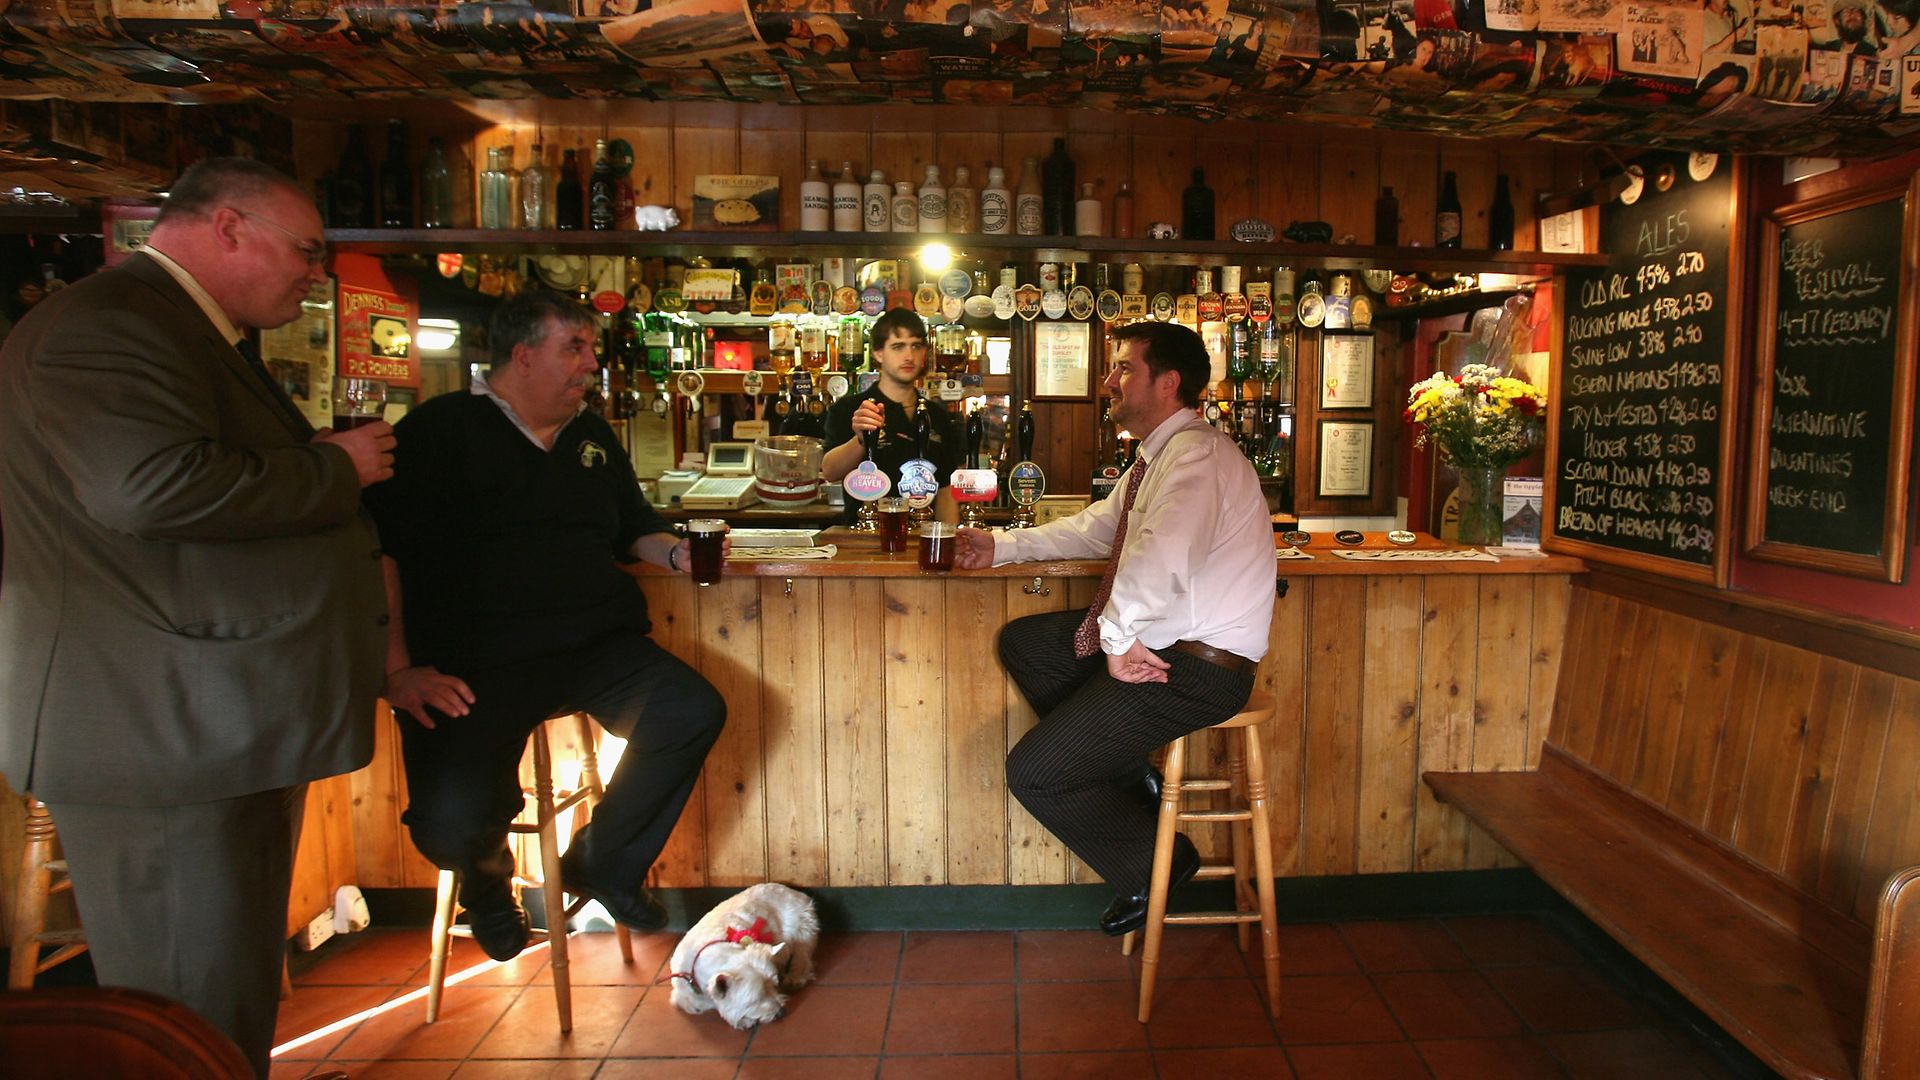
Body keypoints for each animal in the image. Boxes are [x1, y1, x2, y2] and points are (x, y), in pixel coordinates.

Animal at [668, 880, 817, 1022]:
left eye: (774, 984)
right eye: (755, 1000)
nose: (782, 1013)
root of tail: (791, 890)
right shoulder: (686, 995)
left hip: (802, 924)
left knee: (802, 952)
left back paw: (795, 977)